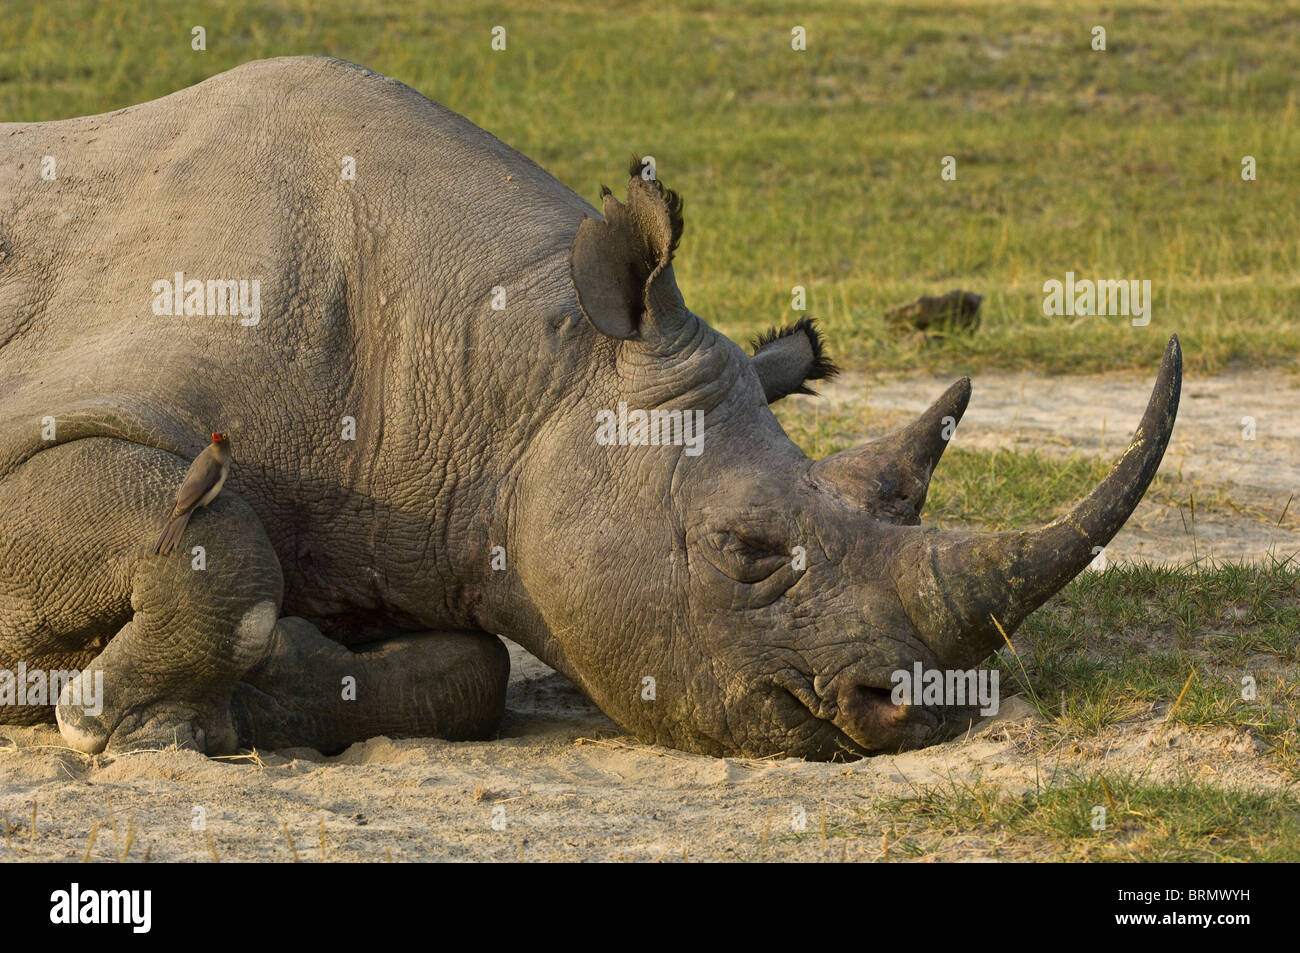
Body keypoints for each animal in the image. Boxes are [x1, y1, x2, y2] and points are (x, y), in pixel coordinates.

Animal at [0, 57, 1180, 759]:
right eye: (747, 549)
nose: (921, 708)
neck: (514, 370)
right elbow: (220, 541)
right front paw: (111, 718)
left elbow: (469, 675)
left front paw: (257, 680)